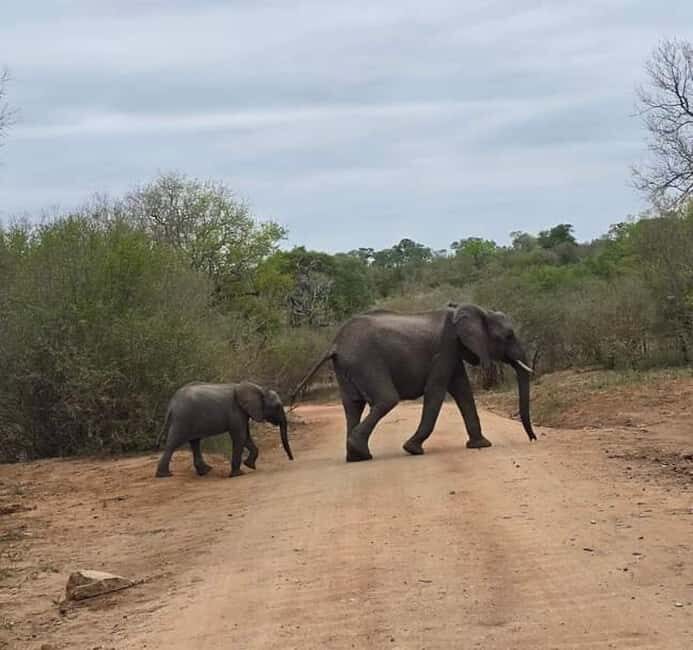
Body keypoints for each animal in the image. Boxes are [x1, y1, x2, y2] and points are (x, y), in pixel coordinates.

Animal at [155, 381, 293, 478]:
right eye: (277, 407)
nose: (291, 459)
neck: (259, 389)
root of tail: (171, 404)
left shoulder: (243, 412)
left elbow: (246, 436)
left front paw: (250, 465)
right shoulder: (236, 411)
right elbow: (240, 436)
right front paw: (238, 474)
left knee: (195, 442)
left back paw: (205, 471)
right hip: (183, 418)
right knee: (173, 443)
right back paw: (164, 475)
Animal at [292, 303, 536, 462]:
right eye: (509, 336)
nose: (533, 439)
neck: (476, 310)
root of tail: (335, 344)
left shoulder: (454, 352)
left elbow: (462, 390)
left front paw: (480, 445)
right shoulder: (446, 348)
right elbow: (436, 390)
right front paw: (412, 449)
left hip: (347, 368)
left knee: (352, 406)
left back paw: (357, 457)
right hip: (366, 361)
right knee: (386, 399)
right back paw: (360, 452)